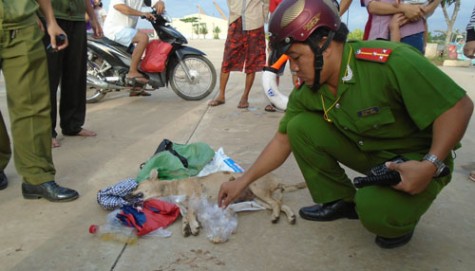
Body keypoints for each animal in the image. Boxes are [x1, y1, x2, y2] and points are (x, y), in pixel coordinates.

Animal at [132, 172, 306, 238]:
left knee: (277, 203)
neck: (171, 190)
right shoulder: (186, 207)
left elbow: (190, 213)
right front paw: (186, 227)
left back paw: (276, 216)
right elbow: (186, 216)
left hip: (258, 190)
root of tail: (278, 181)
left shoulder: (195, 197)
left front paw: (194, 226)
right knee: (281, 204)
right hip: (259, 199)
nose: (126, 195)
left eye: (137, 186)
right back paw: (289, 216)